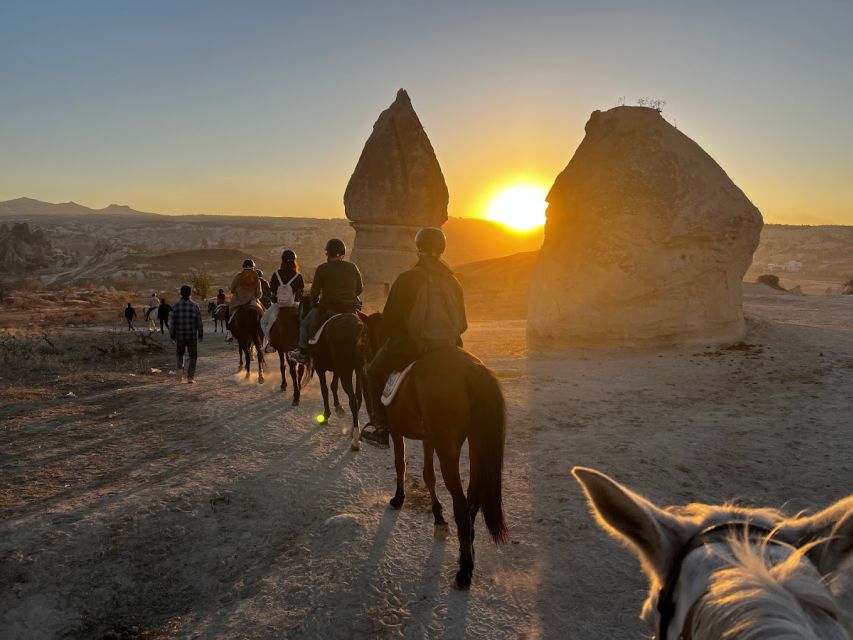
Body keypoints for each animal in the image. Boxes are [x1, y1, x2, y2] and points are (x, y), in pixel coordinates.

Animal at [310, 312, 366, 452]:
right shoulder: (337, 370)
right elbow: (333, 385)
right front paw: (338, 407)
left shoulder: (320, 368)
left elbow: (324, 389)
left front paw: (326, 415)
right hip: (358, 369)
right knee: (358, 397)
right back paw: (353, 430)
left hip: (346, 370)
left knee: (352, 400)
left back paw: (355, 441)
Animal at [362, 312, 510, 588]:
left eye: (364, 336)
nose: (364, 360)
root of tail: (471, 369)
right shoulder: (428, 439)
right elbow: (428, 475)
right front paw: (438, 517)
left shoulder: (398, 432)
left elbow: (401, 463)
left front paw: (398, 499)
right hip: (473, 443)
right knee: (472, 497)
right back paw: (467, 548)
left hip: (448, 448)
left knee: (461, 503)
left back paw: (464, 570)